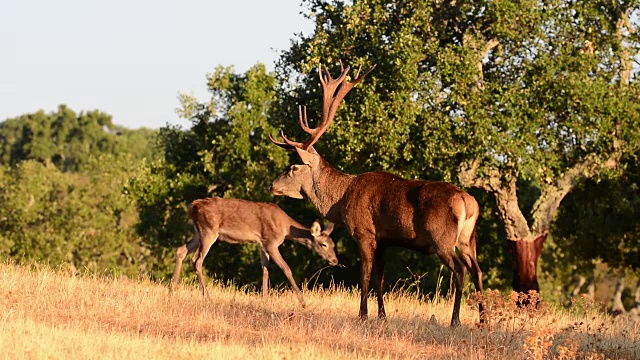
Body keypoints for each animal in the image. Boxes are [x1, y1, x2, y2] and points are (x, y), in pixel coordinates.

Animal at [172, 195, 338, 306]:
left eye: (333, 244)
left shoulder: (262, 243)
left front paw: (265, 299)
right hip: (209, 230)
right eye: (323, 244)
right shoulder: (271, 242)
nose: (335, 260)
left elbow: (265, 269)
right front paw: (303, 302)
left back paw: (173, 288)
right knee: (197, 260)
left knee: (181, 250)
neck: (286, 228)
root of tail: (192, 207)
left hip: (198, 232)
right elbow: (286, 268)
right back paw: (207, 297)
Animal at [268, 62, 482, 326]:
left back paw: (455, 320)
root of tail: (467, 202)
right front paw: (381, 315)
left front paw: (362, 315)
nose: (272, 185)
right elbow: (380, 279)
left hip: (442, 237)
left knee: (461, 271)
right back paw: (485, 319)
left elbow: (365, 277)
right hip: (467, 238)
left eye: (293, 167)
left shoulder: (365, 233)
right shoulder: (384, 240)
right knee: (478, 271)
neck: (342, 200)